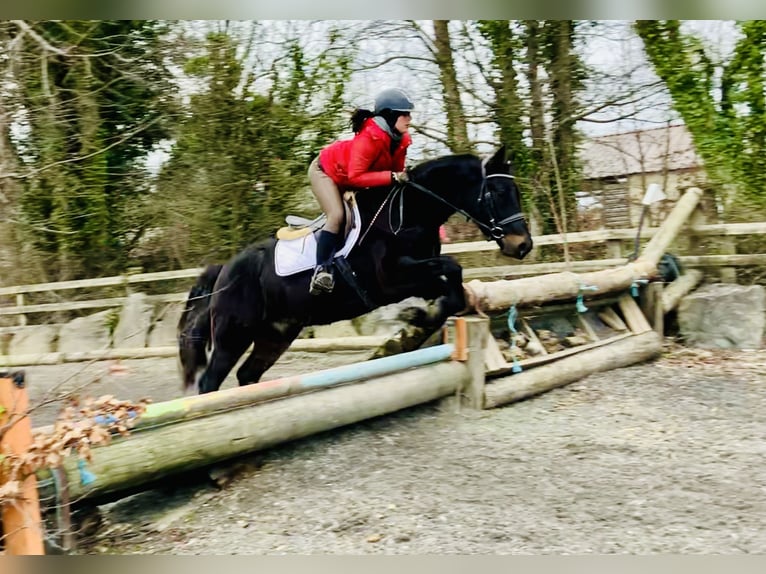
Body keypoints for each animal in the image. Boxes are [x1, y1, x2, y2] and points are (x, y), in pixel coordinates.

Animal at [178, 145, 536, 396]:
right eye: (497, 192)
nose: (522, 245)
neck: (409, 213)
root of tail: (225, 270)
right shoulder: (391, 279)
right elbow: (453, 266)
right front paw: (415, 316)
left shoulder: (417, 279)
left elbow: (452, 288)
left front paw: (420, 317)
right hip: (233, 336)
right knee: (210, 381)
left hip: (276, 334)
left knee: (248, 374)